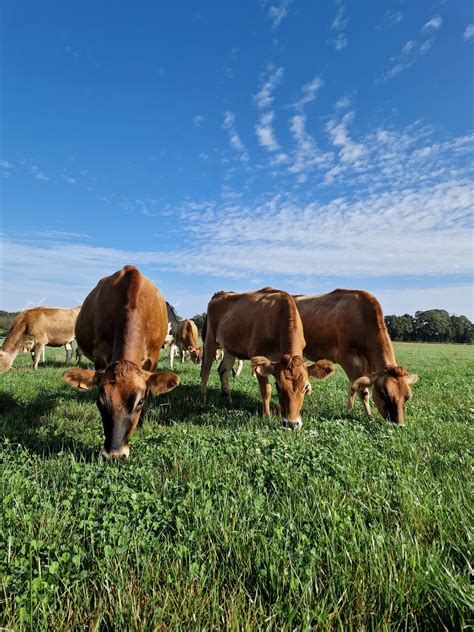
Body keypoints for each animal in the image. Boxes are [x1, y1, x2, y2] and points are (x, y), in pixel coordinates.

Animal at [62, 266, 180, 460]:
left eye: (140, 402)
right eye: (100, 401)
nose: (115, 454)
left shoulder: (153, 358)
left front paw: (140, 426)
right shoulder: (100, 355)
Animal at [199, 288, 334, 430]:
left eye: (306, 387)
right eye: (278, 386)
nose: (292, 424)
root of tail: (220, 293)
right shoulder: (259, 356)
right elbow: (266, 390)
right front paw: (267, 415)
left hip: (229, 347)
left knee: (223, 370)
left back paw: (227, 399)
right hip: (210, 340)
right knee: (206, 371)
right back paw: (203, 400)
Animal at [294, 290, 420, 428]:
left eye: (408, 397)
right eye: (383, 394)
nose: (399, 425)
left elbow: (354, 387)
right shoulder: (348, 359)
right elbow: (360, 390)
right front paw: (365, 415)